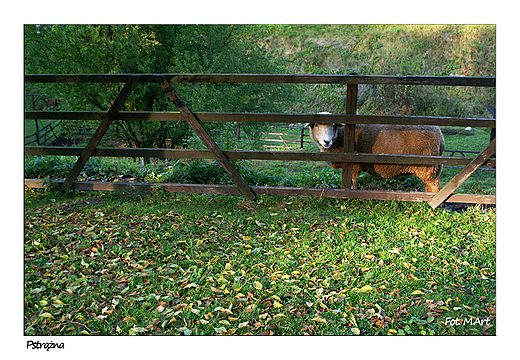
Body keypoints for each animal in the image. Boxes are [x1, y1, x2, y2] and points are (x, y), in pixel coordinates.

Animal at [306, 116, 444, 194]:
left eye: (334, 125)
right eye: (316, 125)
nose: (326, 141)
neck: (341, 136)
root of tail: (440, 135)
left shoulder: (354, 163)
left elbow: (353, 181)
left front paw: (352, 193)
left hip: (428, 167)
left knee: (434, 185)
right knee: (428, 185)